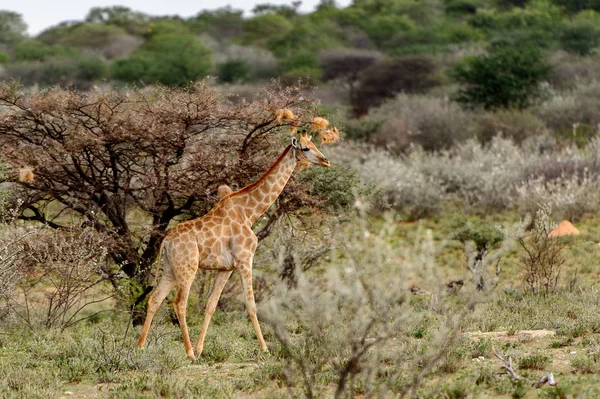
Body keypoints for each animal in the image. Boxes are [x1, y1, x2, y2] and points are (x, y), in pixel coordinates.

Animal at [137, 130, 330, 360]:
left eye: (315, 144)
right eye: (306, 148)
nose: (325, 160)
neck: (248, 213)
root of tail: (166, 241)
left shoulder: (225, 268)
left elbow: (211, 305)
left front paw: (201, 349)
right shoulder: (245, 259)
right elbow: (252, 305)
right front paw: (264, 349)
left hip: (170, 269)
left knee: (154, 299)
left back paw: (140, 348)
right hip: (187, 268)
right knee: (179, 303)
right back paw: (189, 353)